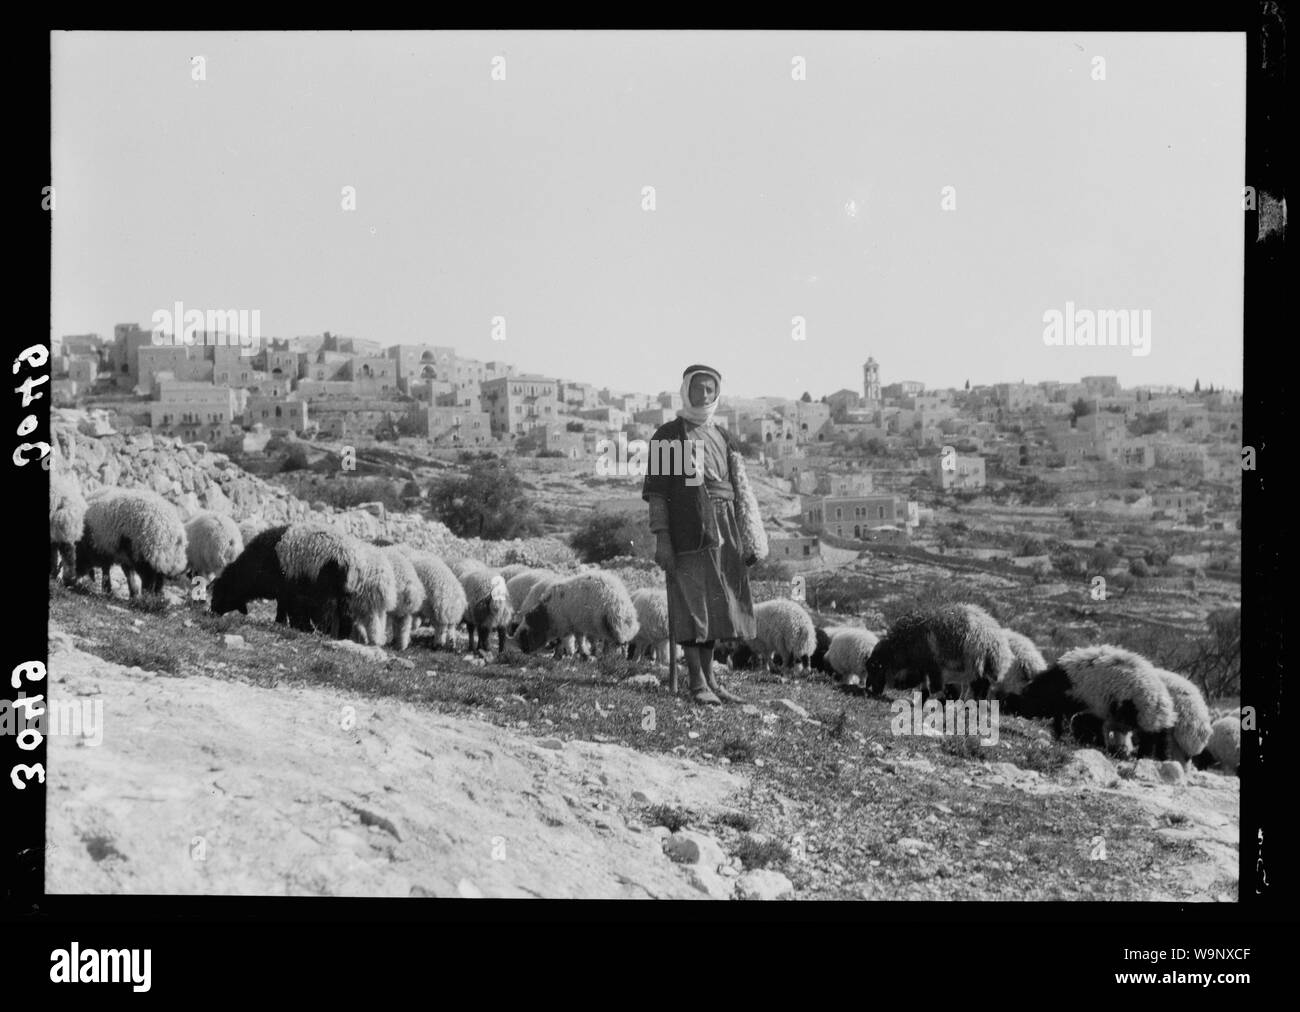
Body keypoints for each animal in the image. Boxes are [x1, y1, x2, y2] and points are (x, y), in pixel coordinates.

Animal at [514, 567, 642, 655]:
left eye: (525, 635)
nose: (524, 651)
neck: (547, 615)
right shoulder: (577, 626)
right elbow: (579, 640)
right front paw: (582, 653)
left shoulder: (566, 625)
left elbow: (567, 641)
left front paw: (567, 654)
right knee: (620, 644)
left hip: (603, 625)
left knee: (612, 642)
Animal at [863, 603, 1013, 697]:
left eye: (875, 669)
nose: (871, 690)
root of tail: (995, 641)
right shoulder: (924, 666)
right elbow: (924, 686)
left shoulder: (933, 666)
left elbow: (935, 688)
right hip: (981, 669)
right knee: (981, 688)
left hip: (975, 666)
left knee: (979, 688)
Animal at [993, 642, 1180, 754]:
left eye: (1014, 702)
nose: (1004, 710)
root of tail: (1162, 704)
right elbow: (1061, 721)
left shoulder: (1086, 705)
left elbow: (1075, 724)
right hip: (1155, 726)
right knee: (1161, 744)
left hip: (1142, 718)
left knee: (1149, 743)